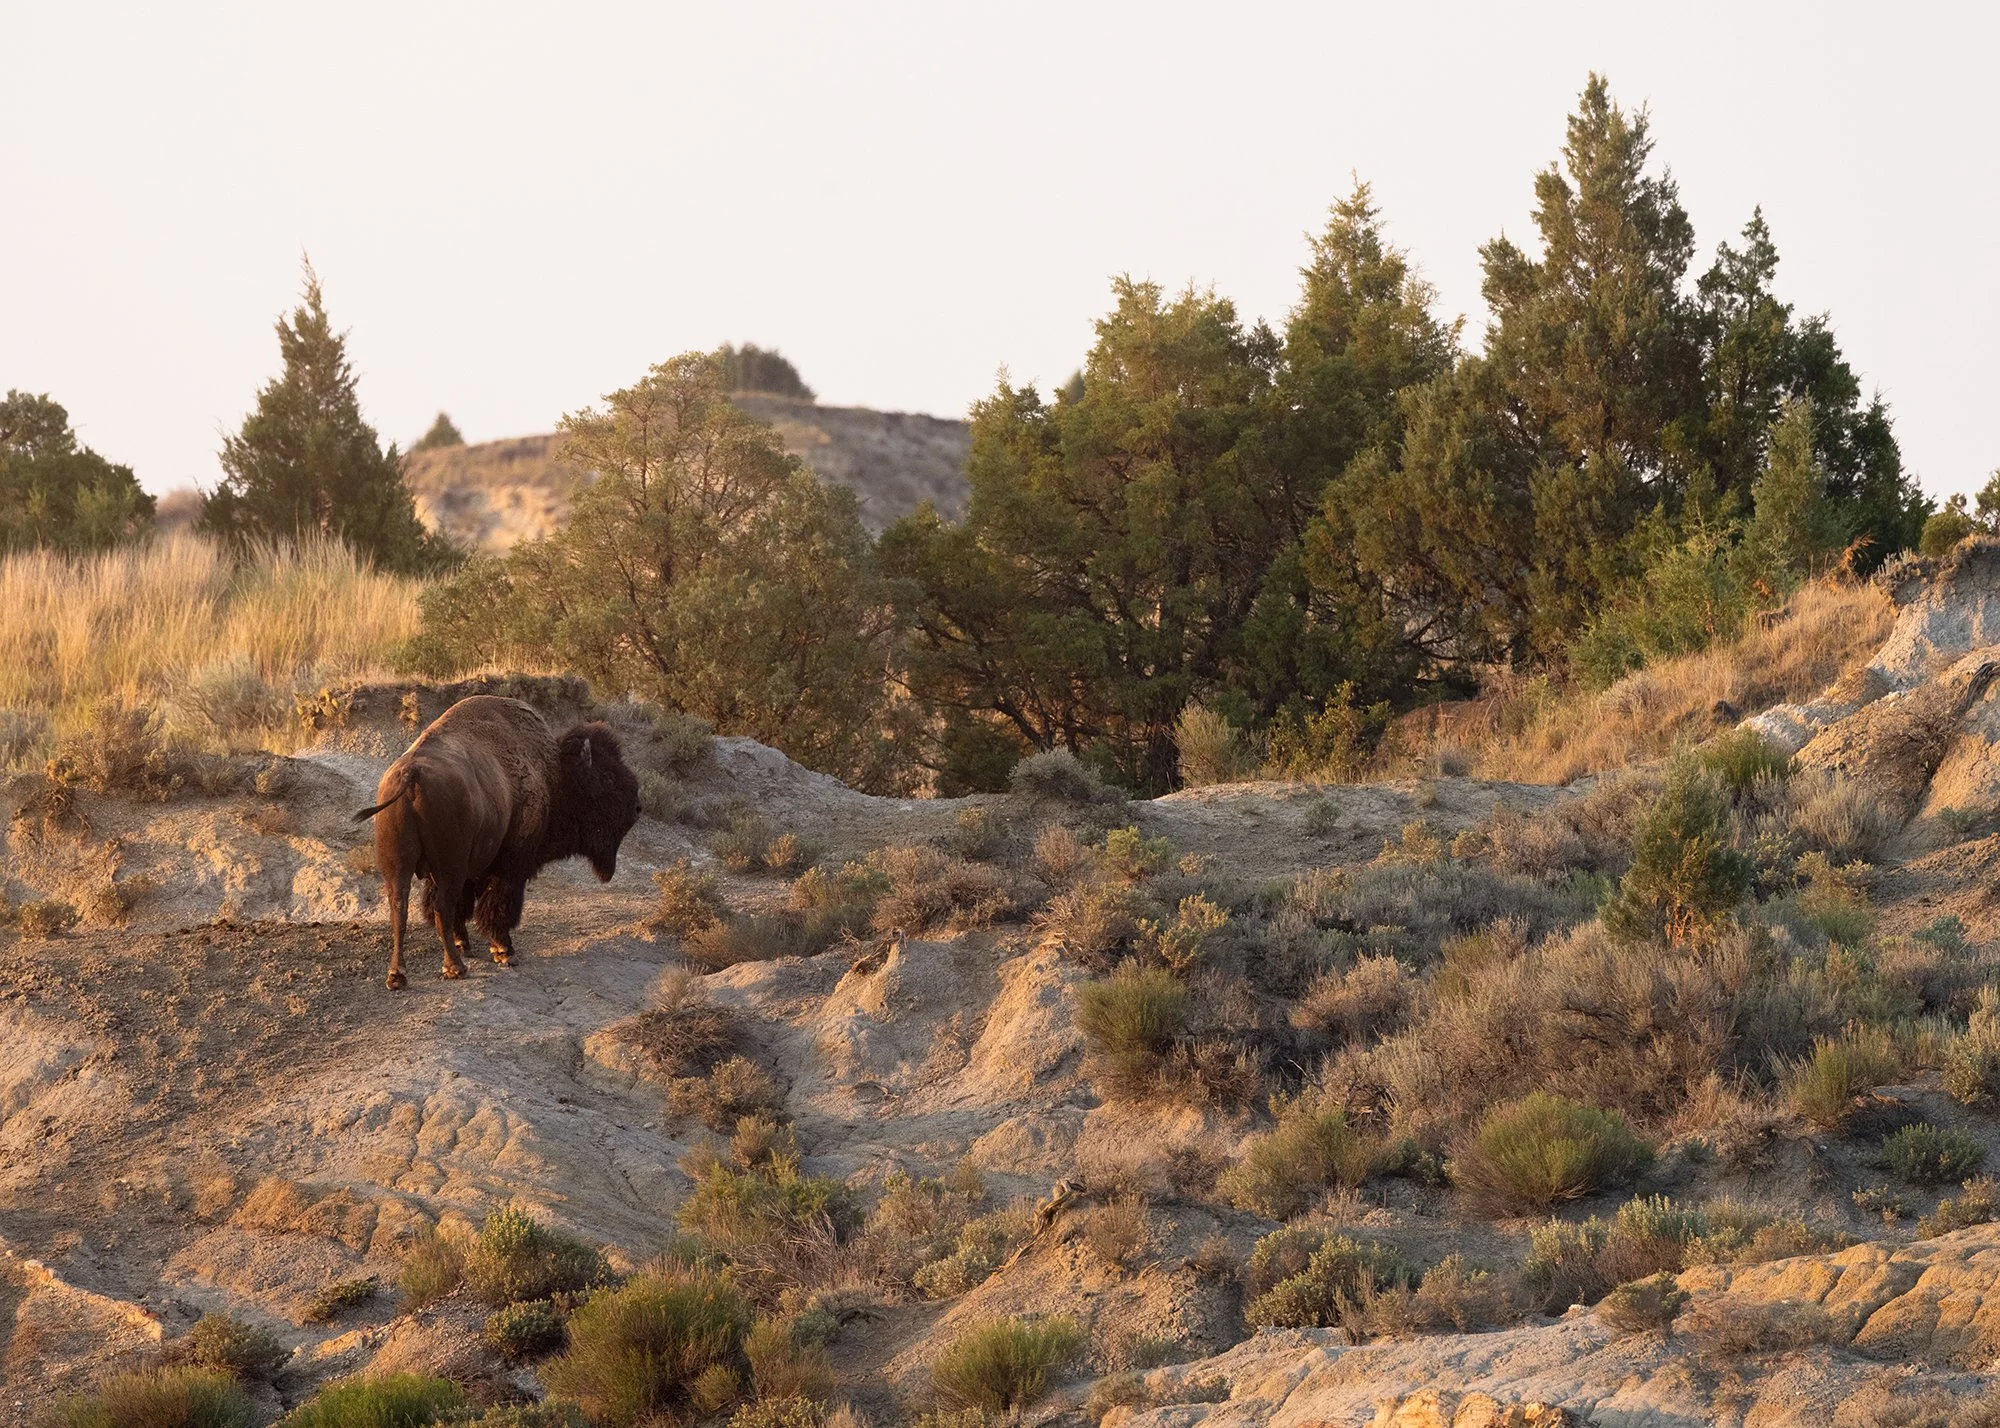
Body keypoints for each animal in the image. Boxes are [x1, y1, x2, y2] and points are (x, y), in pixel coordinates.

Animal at [352, 695, 641, 989]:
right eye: (607, 778)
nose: (637, 807)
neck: (553, 772)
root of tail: (412, 774)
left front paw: (467, 943)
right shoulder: (511, 866)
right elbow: (499, 905)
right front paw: (504, 950)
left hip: (398, 865)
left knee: (399, 909)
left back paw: (398, 976)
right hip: (449, 867)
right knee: (442, 907)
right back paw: (455, 967)